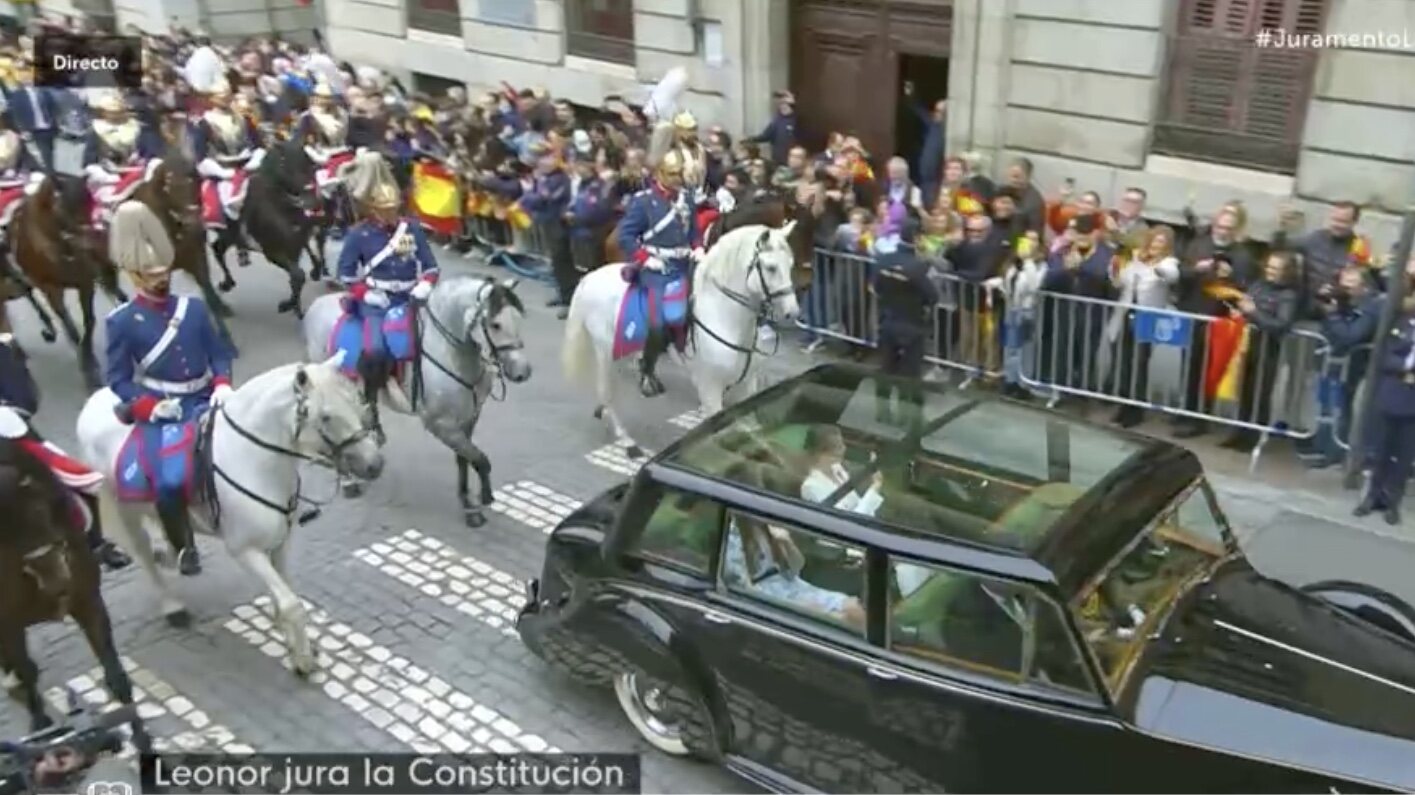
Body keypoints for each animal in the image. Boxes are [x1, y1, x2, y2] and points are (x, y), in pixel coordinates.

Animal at [76, 356, 382, 670]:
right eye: (326, 417)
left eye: (358, 402)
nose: (375, 464)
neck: (253, 459)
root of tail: (92, 402)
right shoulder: (244, 549)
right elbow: (291, 603)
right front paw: (303, 661)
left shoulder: (281, 541)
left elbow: (284, 590)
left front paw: (291, 640)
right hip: (123, 513)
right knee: (144, 557)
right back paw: (172, 604)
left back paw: (174, 555)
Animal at [208, 139, 316, 315]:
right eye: (283, 161)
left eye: (308, 159)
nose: (310, 199)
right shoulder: (272, 252)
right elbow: (298, 276)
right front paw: (291, 305)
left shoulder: (295, 248)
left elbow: (297, 276)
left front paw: (292, 303)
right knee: (217, 249)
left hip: (230, 235)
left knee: (218, 248)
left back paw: (228, 282)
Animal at [301, 274, 532, 526]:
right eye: (496, 324)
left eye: (519, 318)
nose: (523, 372)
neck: (449, 352)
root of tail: (318, 304)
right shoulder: (440, 425)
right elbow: (480, 459)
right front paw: (483, 497)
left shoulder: (468, 419)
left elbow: (464, 458)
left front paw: (467, 501)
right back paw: (348, 481)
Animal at [568, 223, 803, 455]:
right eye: (771, 268)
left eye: (791, 264)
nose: (792, 313)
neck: (722, 312)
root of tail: (590, 277)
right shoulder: (710, 387)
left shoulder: (748, 384)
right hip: (606, 354)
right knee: (607, 392)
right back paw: (626, 440)